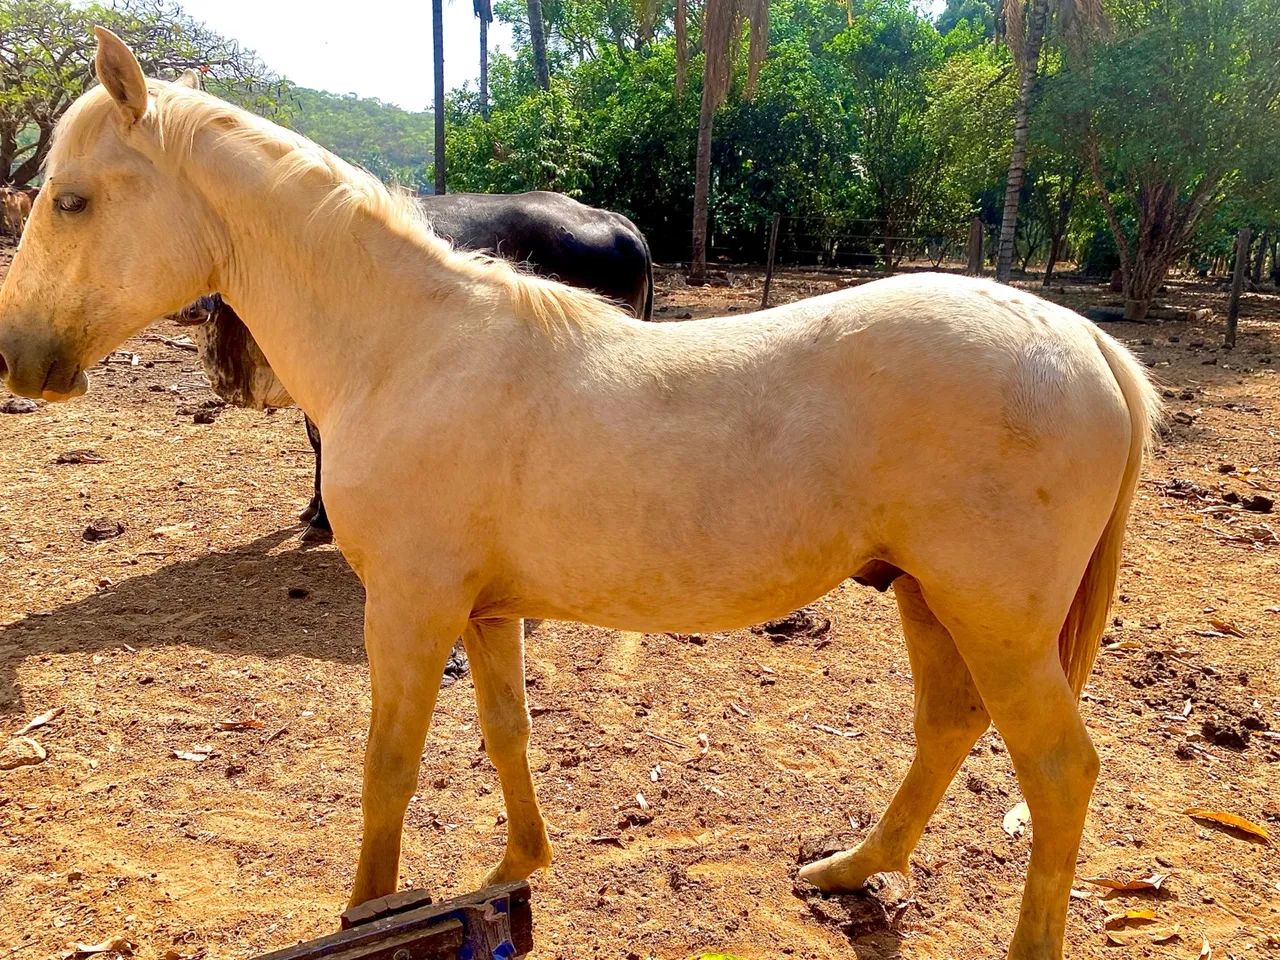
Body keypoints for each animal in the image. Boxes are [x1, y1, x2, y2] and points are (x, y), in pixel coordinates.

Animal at [0, 30, 1160, 960]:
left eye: (71, 199)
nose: (19, 356)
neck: (407, 346)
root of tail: (1086, 341)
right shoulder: (484, 611)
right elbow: (506, 733)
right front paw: (519, 862)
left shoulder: (409, 610)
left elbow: (389, 768)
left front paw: (369, 911)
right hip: (929, 599)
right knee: (946, 730)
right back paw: (846, 869)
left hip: (995, 621)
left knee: (1058, 772)